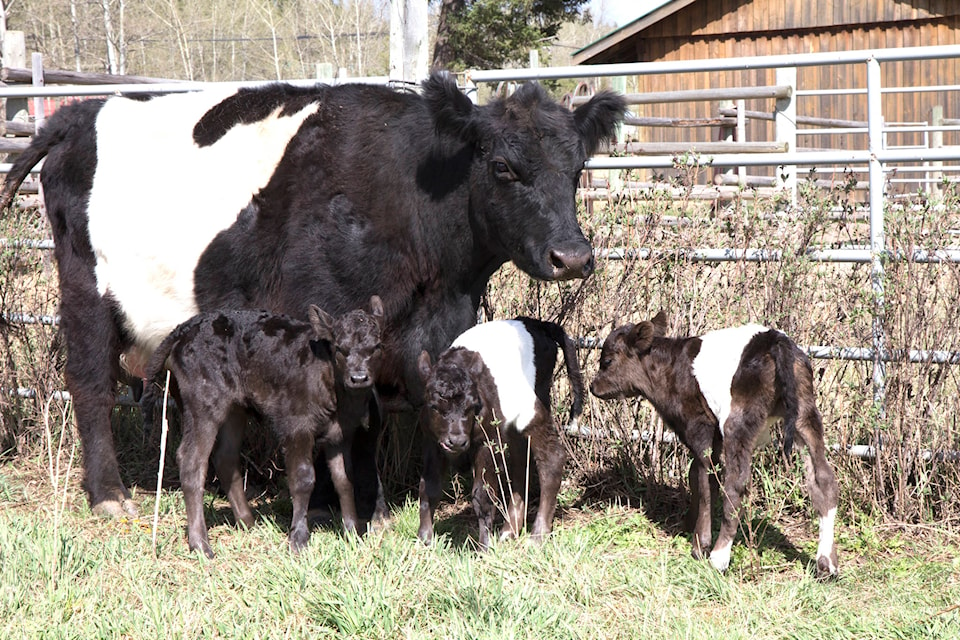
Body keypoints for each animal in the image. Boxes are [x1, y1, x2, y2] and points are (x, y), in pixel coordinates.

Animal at [0, 71, 624, 520]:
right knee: (89, 385)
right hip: (86, 293)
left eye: (578, 168)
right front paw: (335, 499)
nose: (573, 256)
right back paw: (108, 494)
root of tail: (78, 115)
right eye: (501, 166)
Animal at [142, 298, 382, 556]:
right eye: (339, 348)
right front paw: (299, 539)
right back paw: (201, 544)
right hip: (203, 404)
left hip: (235, 410)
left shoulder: (342, 434)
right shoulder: (296, 428)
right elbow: (303, 478)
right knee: (192, 461)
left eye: (377, 347)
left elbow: (344, 480)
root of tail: (184, 329)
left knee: (225, 457)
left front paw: (353, 534)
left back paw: (248, 522)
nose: (359, 377)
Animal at [414, 320, 580, 552]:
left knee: (551, 457)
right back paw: (509, 530)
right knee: (520, 462)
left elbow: (482, 495)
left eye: (471, 406)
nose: (457, 441)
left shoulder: (488, 441)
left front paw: (484, 547)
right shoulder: (432, 441)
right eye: (434, 406)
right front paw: (424, 540)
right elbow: (428, 487)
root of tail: (536, 323)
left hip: (532, 407)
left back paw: (537, 535)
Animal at [588, 312, 836, 576]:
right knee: (823, 479)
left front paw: (700, 545)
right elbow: (698, 476)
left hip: (738, 420)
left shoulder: (700, 426)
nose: (593, 386)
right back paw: (827, 564)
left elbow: (704, 481)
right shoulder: (713, 435)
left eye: (607, 361)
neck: (669, 370)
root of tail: (776, 341)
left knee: (736, 484)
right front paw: (688, 525)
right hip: (805, 412)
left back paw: (719, 558)